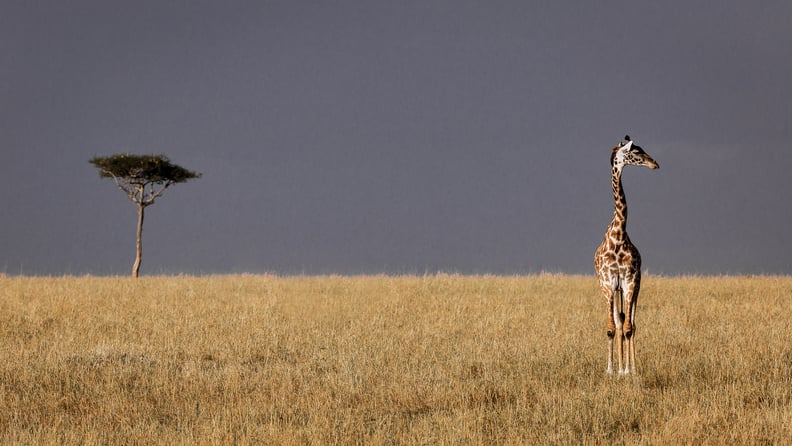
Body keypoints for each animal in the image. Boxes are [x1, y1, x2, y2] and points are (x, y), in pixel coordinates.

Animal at [592, 134, 656, 374]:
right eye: (636, 152)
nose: (655, 164)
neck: (618, 235)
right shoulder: (608, 283)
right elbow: (612, 328)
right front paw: (612, 370)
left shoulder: (629, 281)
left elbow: (628, 328)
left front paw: (629, 371)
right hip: (616, 289)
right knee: (619, 322)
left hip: (634, 287)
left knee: (631, 324)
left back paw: (629, 367)